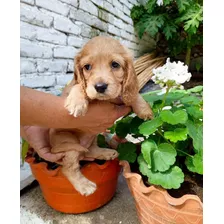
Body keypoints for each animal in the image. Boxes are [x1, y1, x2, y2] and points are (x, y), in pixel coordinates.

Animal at [49, 36, 154, 196]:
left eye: (115, 64)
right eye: (87, 67)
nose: (99, 87)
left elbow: (133, 94)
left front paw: (145, 110)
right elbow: (79, 85)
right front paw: (76, 103)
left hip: (93, 136)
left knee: (91, 150)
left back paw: (106, 152)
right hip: (68, 142)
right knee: (69, 168)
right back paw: (85, 186)